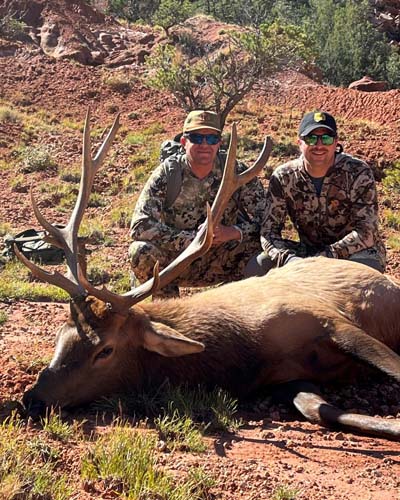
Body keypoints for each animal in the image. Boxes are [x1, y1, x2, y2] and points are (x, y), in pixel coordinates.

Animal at [16, 111, 400, 440]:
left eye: (105, 350)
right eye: (60, 336)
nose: (31, 399)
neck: (243, 348)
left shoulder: (329, 319)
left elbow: (392, 367)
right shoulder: (288, 377)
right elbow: (321, 411)